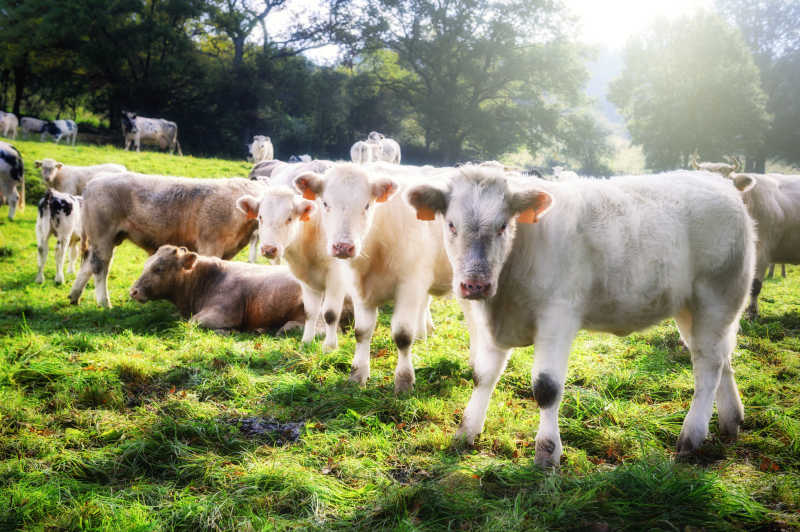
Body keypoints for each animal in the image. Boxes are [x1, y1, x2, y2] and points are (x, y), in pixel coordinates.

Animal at [236, 185, 352, 352]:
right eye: (260, 217)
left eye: (289, 218)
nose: (268, 249)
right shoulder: (306, 280)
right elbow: (310, 312)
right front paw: (306, 343)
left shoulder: (336, 277)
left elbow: (330, 314)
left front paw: (329, 348)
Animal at [292, 162, 450, 390]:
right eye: (325, 203)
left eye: (367, 205)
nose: (343, 247)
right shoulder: (360, 289)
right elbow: (361, 331)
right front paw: (357, 375)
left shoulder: (410, 285)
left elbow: (403, 335)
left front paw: (404, 381)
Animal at [406, 166, 756, 466]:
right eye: (451, 225)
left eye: (502, 226)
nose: (475, 284)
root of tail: (720, 184)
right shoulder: (493, 325)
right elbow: (483, 375)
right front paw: (466, 431)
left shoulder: (558, 317)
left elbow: (546, 388)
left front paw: (547, 454)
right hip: (691, 309)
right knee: (720, 357)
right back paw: (731, 421)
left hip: (717, 298)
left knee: (708, 366)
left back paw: (691, 437)